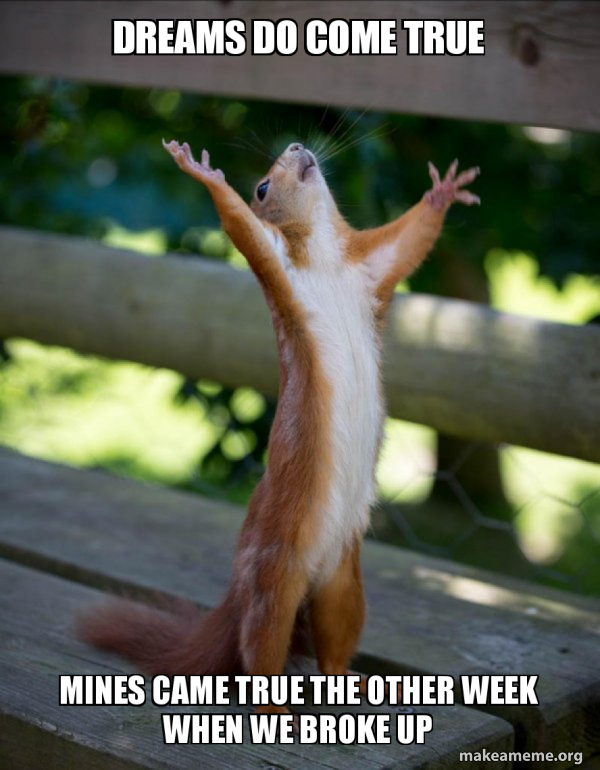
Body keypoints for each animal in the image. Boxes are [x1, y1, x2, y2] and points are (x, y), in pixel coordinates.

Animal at [78, 138, 479, 717]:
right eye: (262, 187)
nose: (296, 146)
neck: (327, 259)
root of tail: (240, 591)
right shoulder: (277, 265)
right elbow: (240, 226)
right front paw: (204, 174)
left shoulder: (371, 267)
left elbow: (410, 240)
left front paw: (443, 192)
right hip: (273, 583)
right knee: (259, 654)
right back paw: (277, 711)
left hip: (343, 585)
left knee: (334, 645)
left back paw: (358, 683)